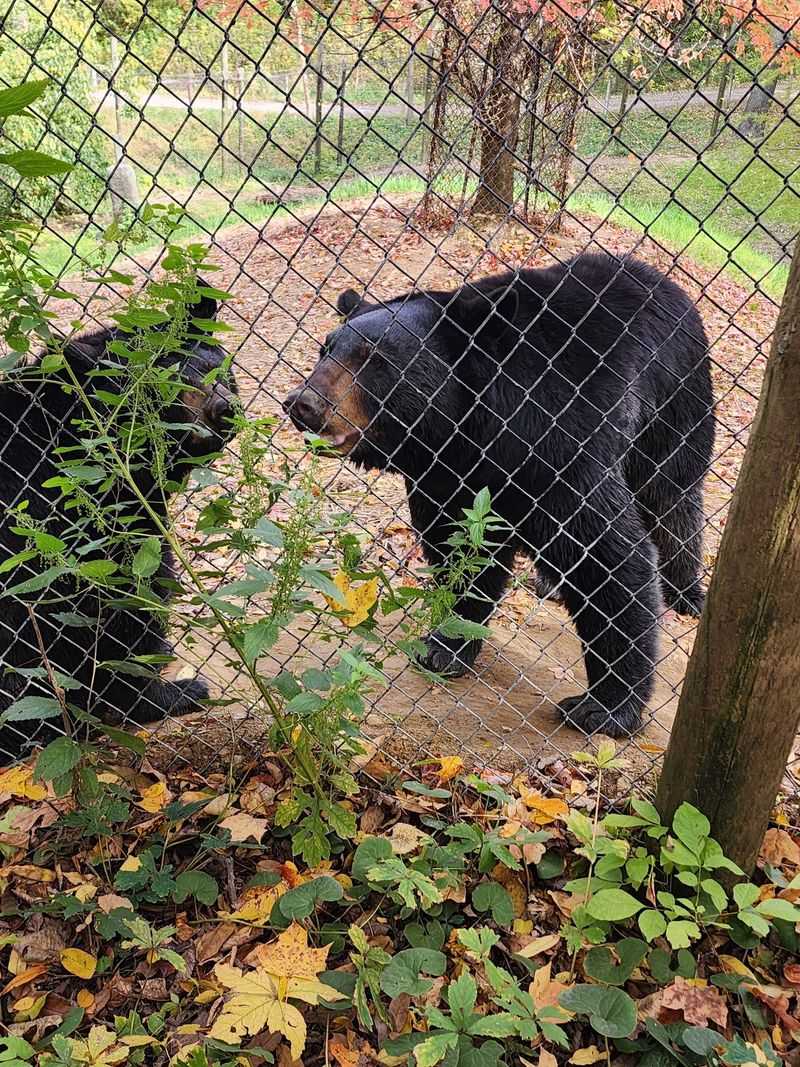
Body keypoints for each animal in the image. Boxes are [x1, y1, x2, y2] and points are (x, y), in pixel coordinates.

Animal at [0, 288, 238, 762]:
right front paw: (169, 693)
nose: (224, 408)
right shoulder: (74, 523)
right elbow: (126, 607)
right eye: (163, 384)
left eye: (215, 367)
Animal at [283, 253, 714, 738]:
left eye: (373, 359)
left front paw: (603, 707)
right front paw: (446, 645)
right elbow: (461, 550)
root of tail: (662, 278)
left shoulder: (561, 441)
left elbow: (606, 553)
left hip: (674, 402)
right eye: (326, 349)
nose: (303, 403)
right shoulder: (447, 473)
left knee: (673, 497)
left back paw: (686, 592)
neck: (470, 426)